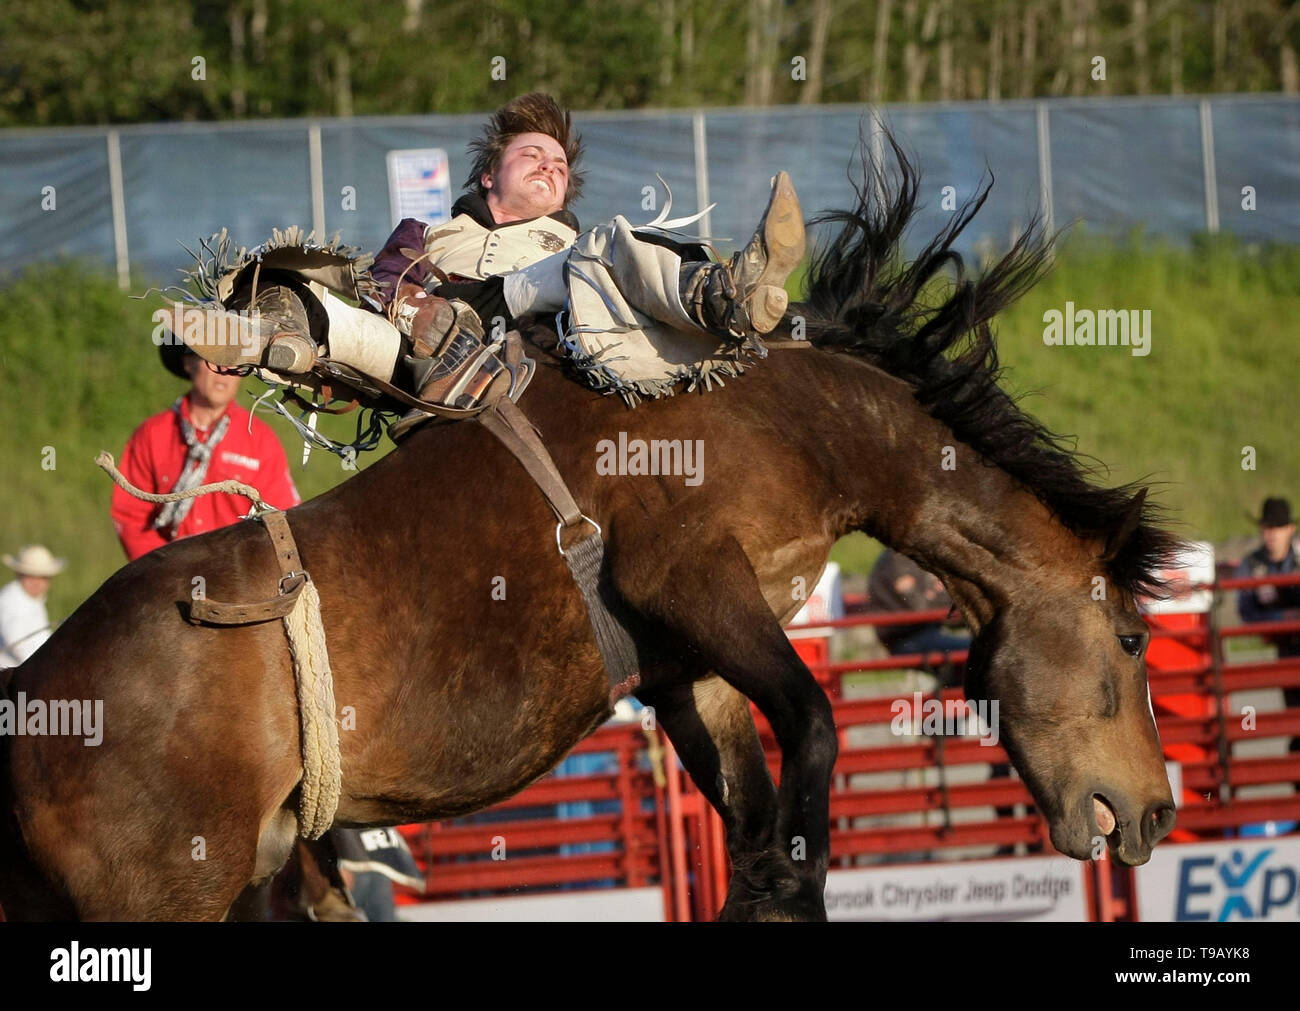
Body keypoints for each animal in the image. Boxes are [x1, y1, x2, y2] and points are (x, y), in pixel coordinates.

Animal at [0, 135, 1180, 920]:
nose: (1159, 815)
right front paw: (788, 875)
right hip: (168, 891)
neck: (795, 416)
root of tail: (31, 697)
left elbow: (750, 793)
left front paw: (767, 884)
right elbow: (814, 722)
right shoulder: (690, 579)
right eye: (1131, 637)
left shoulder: (689, 664)